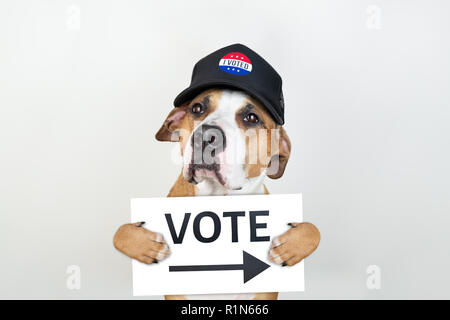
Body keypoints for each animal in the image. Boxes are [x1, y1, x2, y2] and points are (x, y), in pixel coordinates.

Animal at [114, 88, 322, 300]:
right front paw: (149, 246)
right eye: (197, 108)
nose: (206, 136)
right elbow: (120, 233)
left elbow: (313, 230)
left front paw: (288, 248)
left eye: (252, 118)